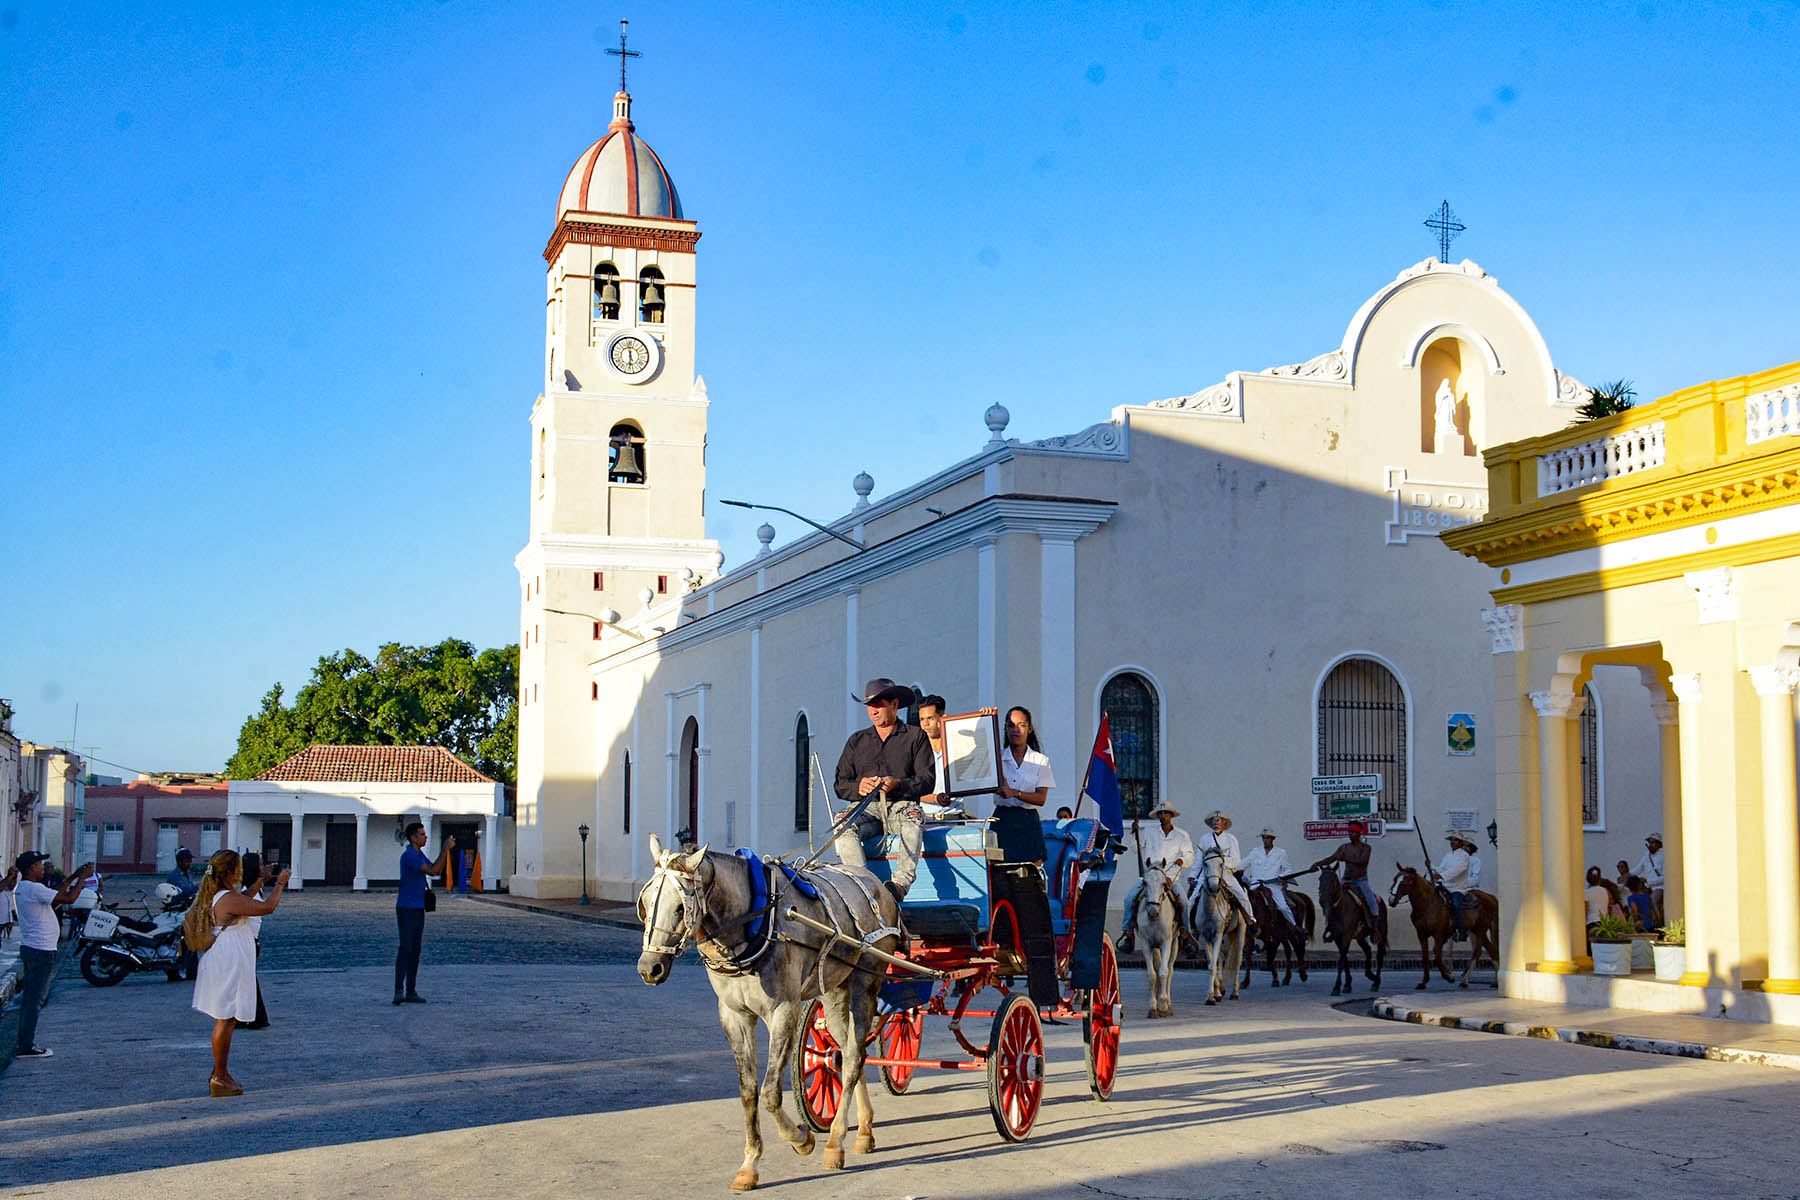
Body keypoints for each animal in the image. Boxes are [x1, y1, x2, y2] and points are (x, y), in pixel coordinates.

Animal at [640, 834, 907, 1194]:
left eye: (681, 907)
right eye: (645, 903)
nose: (649, 967)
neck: (754, 921)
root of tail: (876, 882)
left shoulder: (784, 1011)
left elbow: (769, 1094)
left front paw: (801, 1139)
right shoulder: (734, 1015)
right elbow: (748, 1091)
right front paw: (750, 1165)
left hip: (866, 981)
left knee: (852, 1058)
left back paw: (835, 1143)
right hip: (834, 989)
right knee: (852, 1051)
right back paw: (863, 1131)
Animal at [1137, 859, 1180, 1021]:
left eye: (1163, 883)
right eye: (1145, 882)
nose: (1152, 910)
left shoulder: (1166, 943)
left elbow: (1163, 972)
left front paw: (1162, 1005)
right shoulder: (1146, 944)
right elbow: (1152, 974)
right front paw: (1153, 1007)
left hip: (1175, 943)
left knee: (1170, 969)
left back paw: (1168, 1004)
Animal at [1317, 863, 1382, 993]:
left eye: (1332, 880)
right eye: (1320, 879)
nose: (1322, 901)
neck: (1340, 907)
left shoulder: (1346, 935)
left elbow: (1341, 960)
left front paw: (1336, 987)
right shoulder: (1337, 937)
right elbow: (1345, 959)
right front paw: (1347, 984)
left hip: (1382, 932)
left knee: (1379, 956)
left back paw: (1376, 983)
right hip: (1360, 936)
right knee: (1367, 949)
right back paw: (1370, 975)